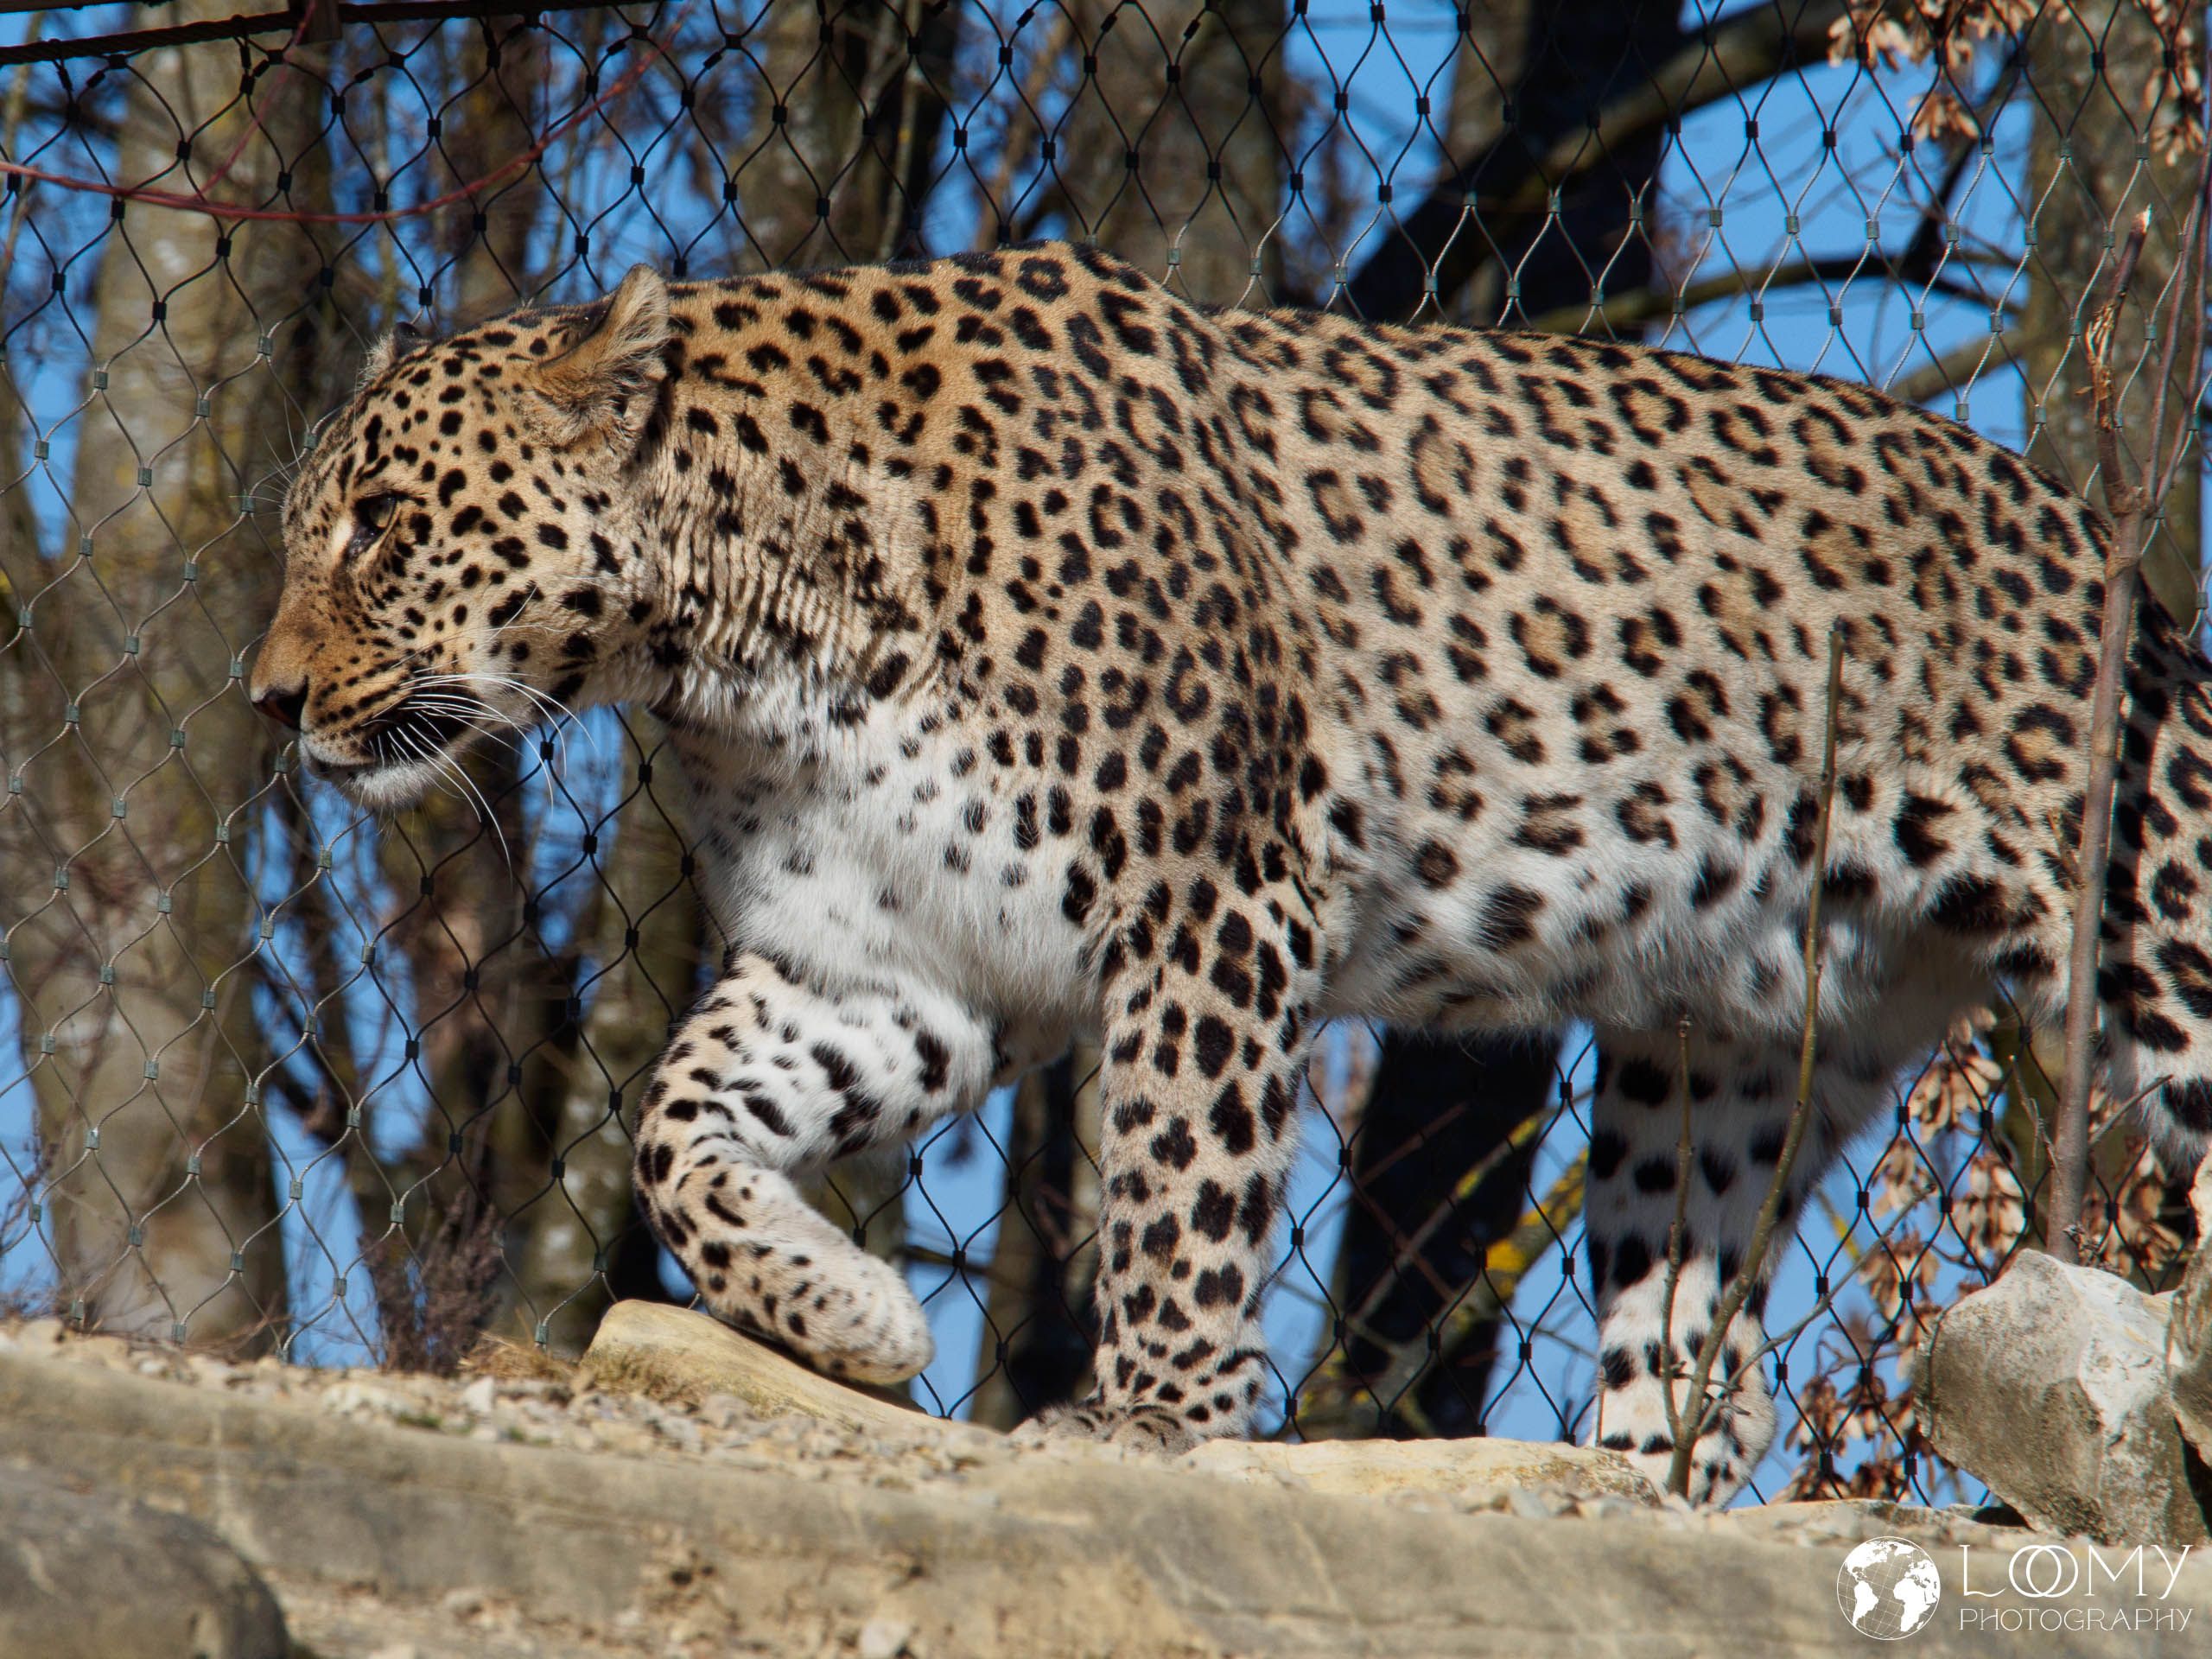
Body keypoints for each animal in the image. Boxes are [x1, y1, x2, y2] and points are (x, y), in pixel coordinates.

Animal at [252, 239, 2212, 1505]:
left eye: (385, 531)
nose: (267, 700)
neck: (738, 642)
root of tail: (2092, 539)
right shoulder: (888, 958)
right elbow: (674, 1120)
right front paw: (853, 1312)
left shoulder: (1208, 893)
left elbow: (1178, 1179)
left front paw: (1153, 1418)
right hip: (1724, 1050)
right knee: (1696, 1349)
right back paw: (1615, 1483)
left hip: (2149, 907)